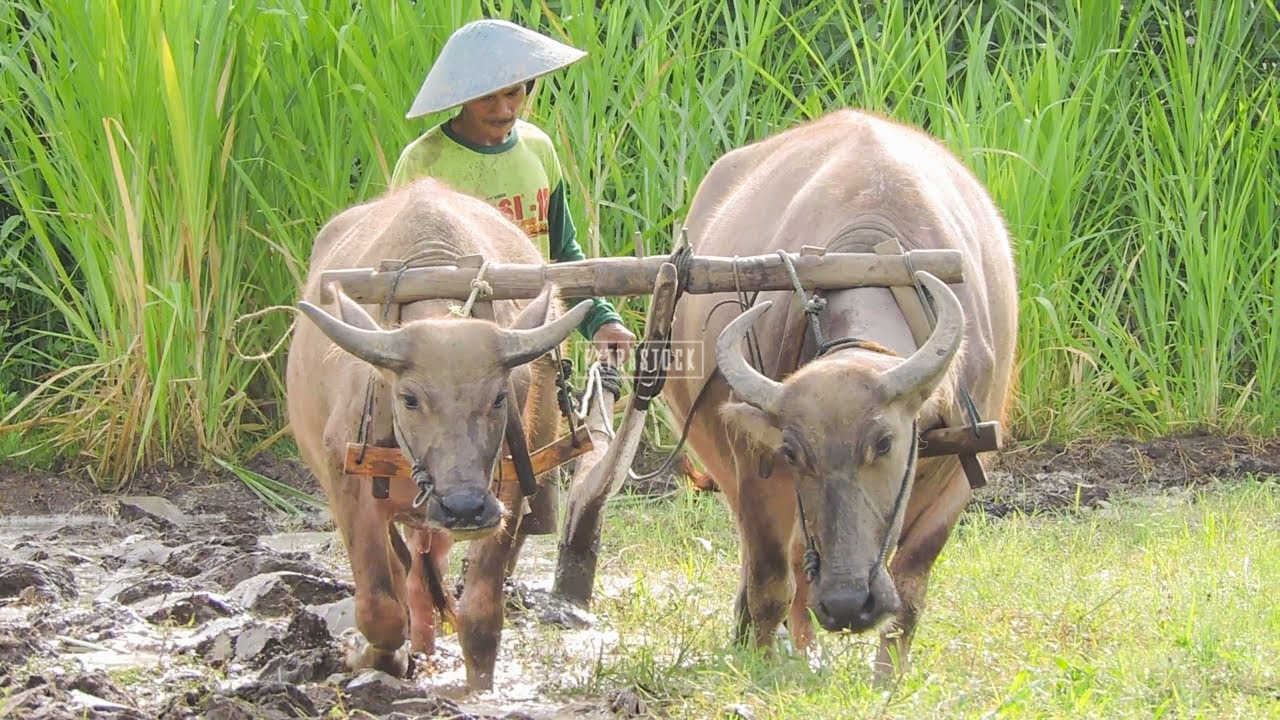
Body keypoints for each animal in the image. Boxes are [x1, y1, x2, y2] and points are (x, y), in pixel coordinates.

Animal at [286, 176, 588, 686]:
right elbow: (379, 608)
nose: (463, 506)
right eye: (409, 398)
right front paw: (371, 659)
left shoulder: (507, 484)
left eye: (499, 397)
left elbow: (481, 613)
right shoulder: (347, 485)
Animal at [665, 109, 1013, 676]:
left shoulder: (965, 466)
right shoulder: (757, 466)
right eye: (792, 451)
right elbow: (770, 581)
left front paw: (888, 679)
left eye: (885, 443)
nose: (850, 604)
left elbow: (909, 593)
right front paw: (760, 664)